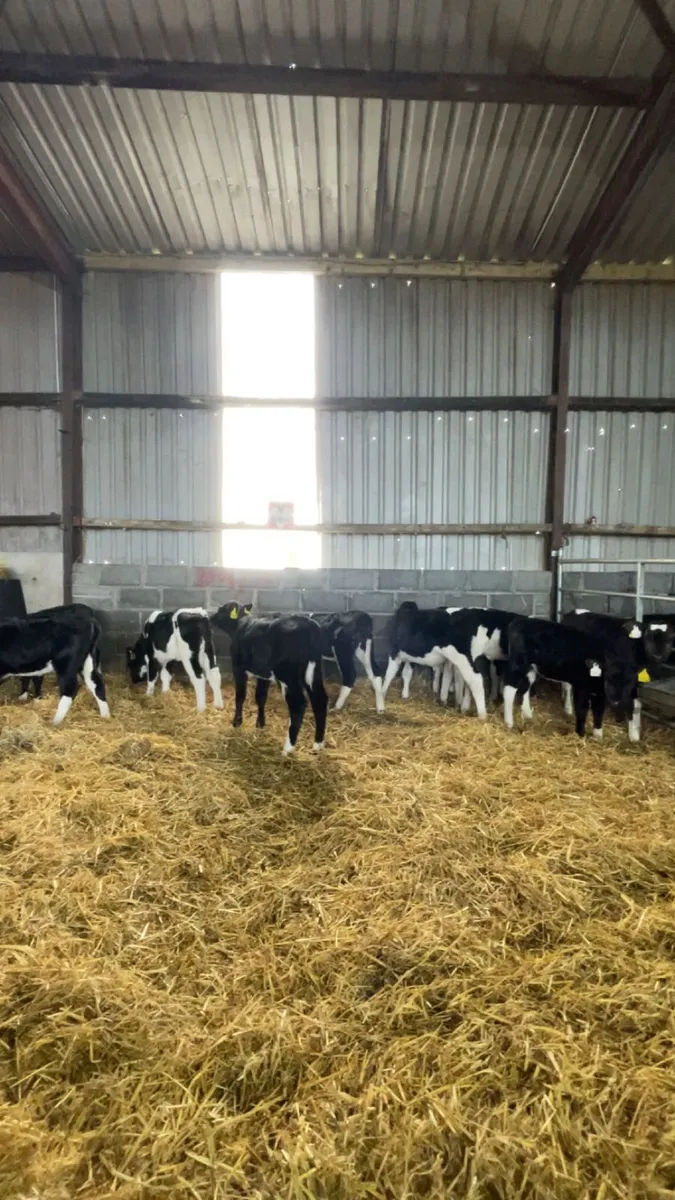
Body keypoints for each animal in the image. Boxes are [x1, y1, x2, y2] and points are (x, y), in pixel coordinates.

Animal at [212, 603, 328, 755]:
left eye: (221, 610)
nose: (211, 617)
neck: (241, 624)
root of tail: (309, 625)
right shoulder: (263, 674)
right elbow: (261, 697)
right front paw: (260, 724)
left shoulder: (238, 668)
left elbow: (240, 696)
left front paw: (237, 722)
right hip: (314, 671)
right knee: (320, 700)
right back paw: (318, 744)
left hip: (287, 675)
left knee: (298, 704)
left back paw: (287, 749)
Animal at [502, 616, 640, 740]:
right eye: (609, 679)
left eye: (629, 682)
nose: (617, 701)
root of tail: (520, 621)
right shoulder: (581, 685)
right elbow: (582, 709)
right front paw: (581, 734)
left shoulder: (599, 692)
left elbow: (598, 711)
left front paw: (598, 736)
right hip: (518, 664)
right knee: (509, 689)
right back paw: (509, 722)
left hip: (530, 668)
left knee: (526, 686)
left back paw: (527, 714)